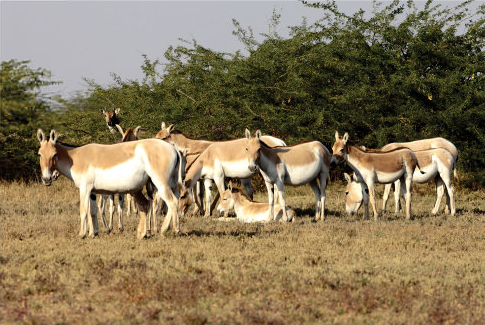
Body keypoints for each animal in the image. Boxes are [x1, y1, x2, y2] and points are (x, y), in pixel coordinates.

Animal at [37, 129, 182, 238]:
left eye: (54, 154)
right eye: (39, 154)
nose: (47, 179)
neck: (76, 157)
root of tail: (174, 149)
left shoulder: (85, 188)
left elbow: (83, 210)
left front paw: (82, 234)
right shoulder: (92, 191)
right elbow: (93, 211)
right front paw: (93, 233)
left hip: (160, 184)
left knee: (172, 202)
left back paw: (170, 230)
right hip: (166, 186)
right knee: (156, 203)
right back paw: (145, 233)